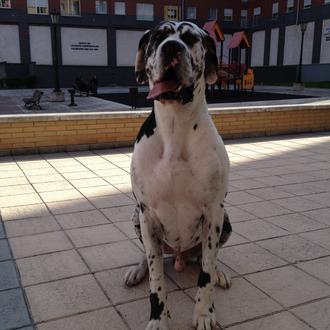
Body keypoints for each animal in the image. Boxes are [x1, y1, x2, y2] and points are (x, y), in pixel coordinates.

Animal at [124, 21, 232, 330]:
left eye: (191, 38)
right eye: (159, 37)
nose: (172, 48)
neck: (175, 126)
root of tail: (181, 256)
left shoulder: (213, 213)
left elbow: (205, 272)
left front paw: (205, 314)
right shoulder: (147, 214)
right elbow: (157, 278)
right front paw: (159, 319)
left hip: (226, 220)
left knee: (210, 258)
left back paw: (219, 272)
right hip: (136, 218)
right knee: (150, 257)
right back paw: (137, 270)